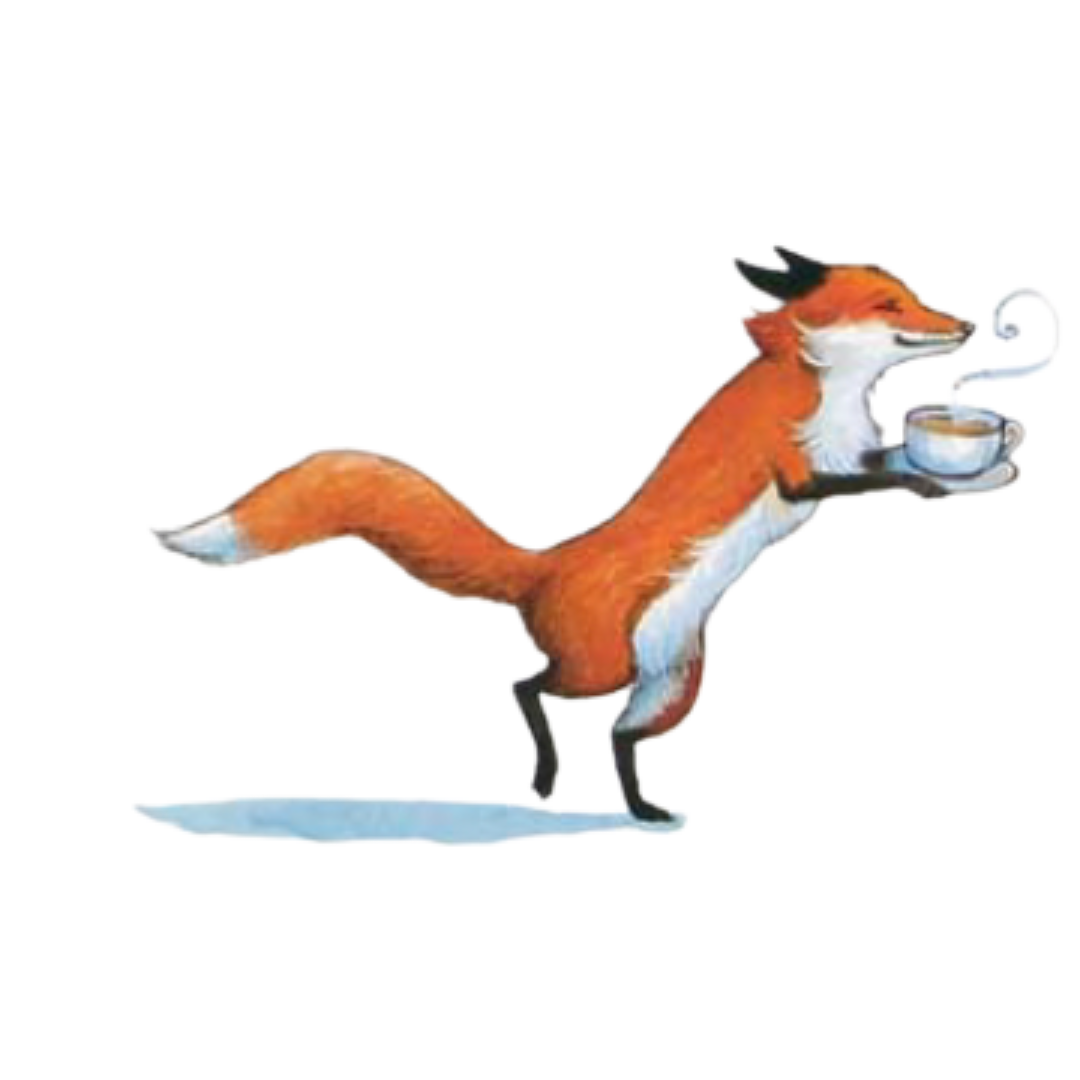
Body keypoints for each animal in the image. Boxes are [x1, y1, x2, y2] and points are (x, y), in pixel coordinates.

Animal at [150, 246, 983, 822]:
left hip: (673, 680)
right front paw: (933, 479)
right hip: (601, 665)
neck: (819, 386)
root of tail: (544, 564)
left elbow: (883, 459)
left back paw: (640, 812)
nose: (969, 322)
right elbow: (867, 478)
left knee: (616, 738)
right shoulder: (795, 465)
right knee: (527, 688)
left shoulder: (849, 452)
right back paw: (546, 781)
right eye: (890, 301)